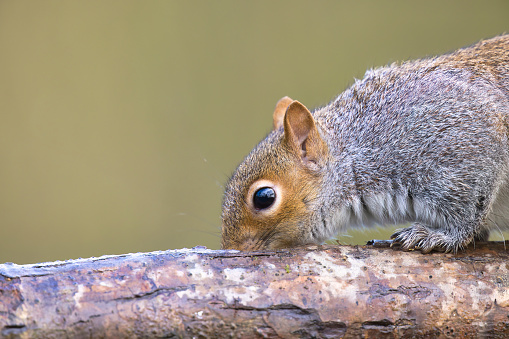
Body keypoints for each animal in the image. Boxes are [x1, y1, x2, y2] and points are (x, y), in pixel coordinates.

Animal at [221, 35, 508, 252]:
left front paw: (439, 236)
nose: (231, 249)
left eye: (264, 197)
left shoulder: (458, 139)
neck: (360, 150)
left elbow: (467, 212)